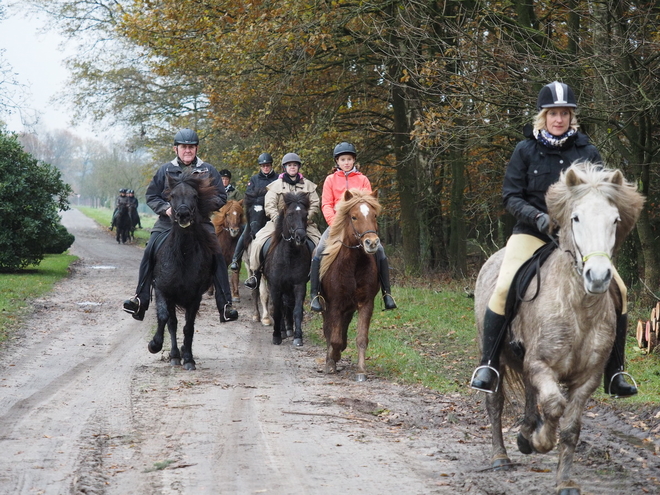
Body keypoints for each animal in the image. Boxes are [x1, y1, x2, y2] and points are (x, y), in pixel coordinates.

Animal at [146, 169, 220, 370]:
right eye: (172, 196)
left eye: (195, 196)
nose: (183, 214)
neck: (183, 255)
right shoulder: (162, 290)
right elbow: (165, 318)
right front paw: (155, 345)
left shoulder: (195, 297)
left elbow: (189, 327)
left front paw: (188, 358)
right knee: (172, 323)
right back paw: (173, 355)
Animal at [262, 192, 312, 346]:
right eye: (289, 214)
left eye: (305, 214)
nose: (300, 237)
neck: (289, 255)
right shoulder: (275, 286)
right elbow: (277, 310)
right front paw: (277, 336)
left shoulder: (299, 285)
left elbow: (297, 310)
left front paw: (298, 337)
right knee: (281, 306)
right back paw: (283, 331)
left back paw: (289, 329)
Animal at [320, 190, 382, 384]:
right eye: (354, 217)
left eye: (374, 215)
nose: (372, 243)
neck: (354, 264)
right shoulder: (334, 304)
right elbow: (334, 338)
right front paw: (332, 361)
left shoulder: (365, 303)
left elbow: (361, 338)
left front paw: (361, 371)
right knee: (328, 330)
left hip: (349, 308)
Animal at [474, 161, 644, 494]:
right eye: (575, 218)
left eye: (615, 219)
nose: (598, 277)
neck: (579, 308)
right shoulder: (541, 364)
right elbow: (553, 406)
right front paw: (540, 440)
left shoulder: (587, 377)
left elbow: (570, 428)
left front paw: (564, 480)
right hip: (497, 357)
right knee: (495, 401)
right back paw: (501, 456)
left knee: (529, 392)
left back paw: (525, 433)